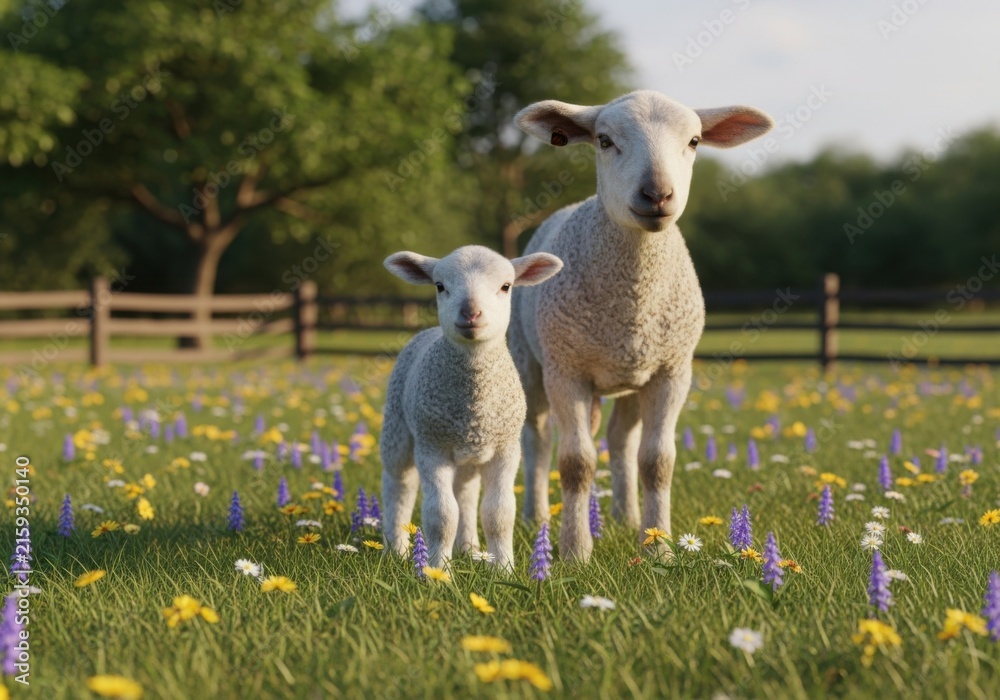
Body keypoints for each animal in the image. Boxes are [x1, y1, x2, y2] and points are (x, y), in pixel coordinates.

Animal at [380, 245, 563, 569]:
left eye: (506, 286)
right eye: (440, 286)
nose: (470, 313)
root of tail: (427, 331)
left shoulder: (505, 449)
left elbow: (499, 513)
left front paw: (503, 568)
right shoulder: (433, 446)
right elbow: (441, 515)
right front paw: (438, 571)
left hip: (468, 456)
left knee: (465, 492)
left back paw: (468, 547)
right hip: (398, 429)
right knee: (398, 485)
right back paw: (396, 548)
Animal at [509, 90, 774, 561]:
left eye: (694, 141)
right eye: (604, 140)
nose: (657, 193)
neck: (633, 299)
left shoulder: (671, 371)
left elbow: (657, 462)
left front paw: (659, 548)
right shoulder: (566, 370)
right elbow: (575, 463)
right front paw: (575, 552)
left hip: (634, 373)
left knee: (620, 440)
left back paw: (627, 519)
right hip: (531, 362)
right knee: (537, 440)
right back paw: (536, 519)